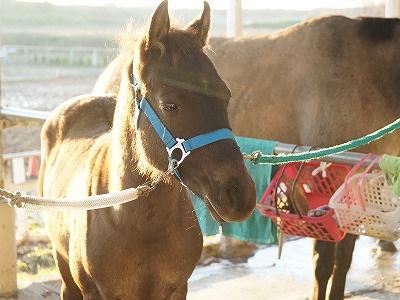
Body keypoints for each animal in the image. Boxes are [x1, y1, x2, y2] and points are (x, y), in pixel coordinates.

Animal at [94, 13, 400, 298]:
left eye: (227, 96)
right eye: (169, 105)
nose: (239, 194)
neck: (365, 72)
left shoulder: (349, 197)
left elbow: (343, 259)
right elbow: (324, 263)